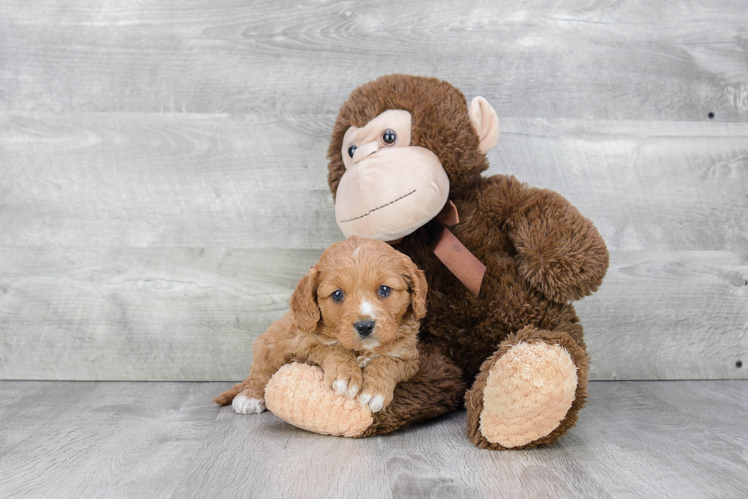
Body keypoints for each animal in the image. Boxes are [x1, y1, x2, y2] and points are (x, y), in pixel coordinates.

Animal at [213, 236, 430, 416]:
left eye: (384, 289)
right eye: (337, 294)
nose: (365, 326)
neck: (361, 350)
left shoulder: (409, 358)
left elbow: (387, 361)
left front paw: (374, 391)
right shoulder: (301, 344)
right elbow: (332, 347)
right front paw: (345, 375)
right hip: (268, 345)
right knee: (258, 374)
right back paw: (250, 396)